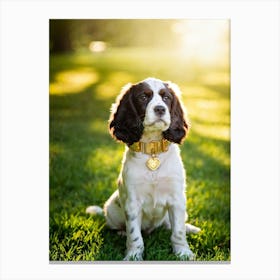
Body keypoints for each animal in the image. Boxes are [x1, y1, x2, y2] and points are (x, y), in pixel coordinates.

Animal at [86, 77, 200, 260]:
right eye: (143, 97)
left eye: (166, 98)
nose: (160, 109)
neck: (152, 150)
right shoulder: (132, 202)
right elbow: (134, 235)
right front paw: (133, 256)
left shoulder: (177, 199)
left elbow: (178, 231)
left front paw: (183, 253)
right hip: (111, 209)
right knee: (118, 226)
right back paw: (121, 233)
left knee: (170, 225)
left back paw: (191, 228)